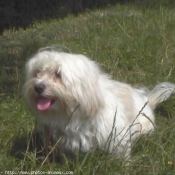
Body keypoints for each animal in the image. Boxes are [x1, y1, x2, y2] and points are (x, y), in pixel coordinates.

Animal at [23, 48, 175, 159]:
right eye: (37, 73)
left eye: (58, 74)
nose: (38, 87)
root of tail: (148, 101)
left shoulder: (115, 134)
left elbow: (120, 153)